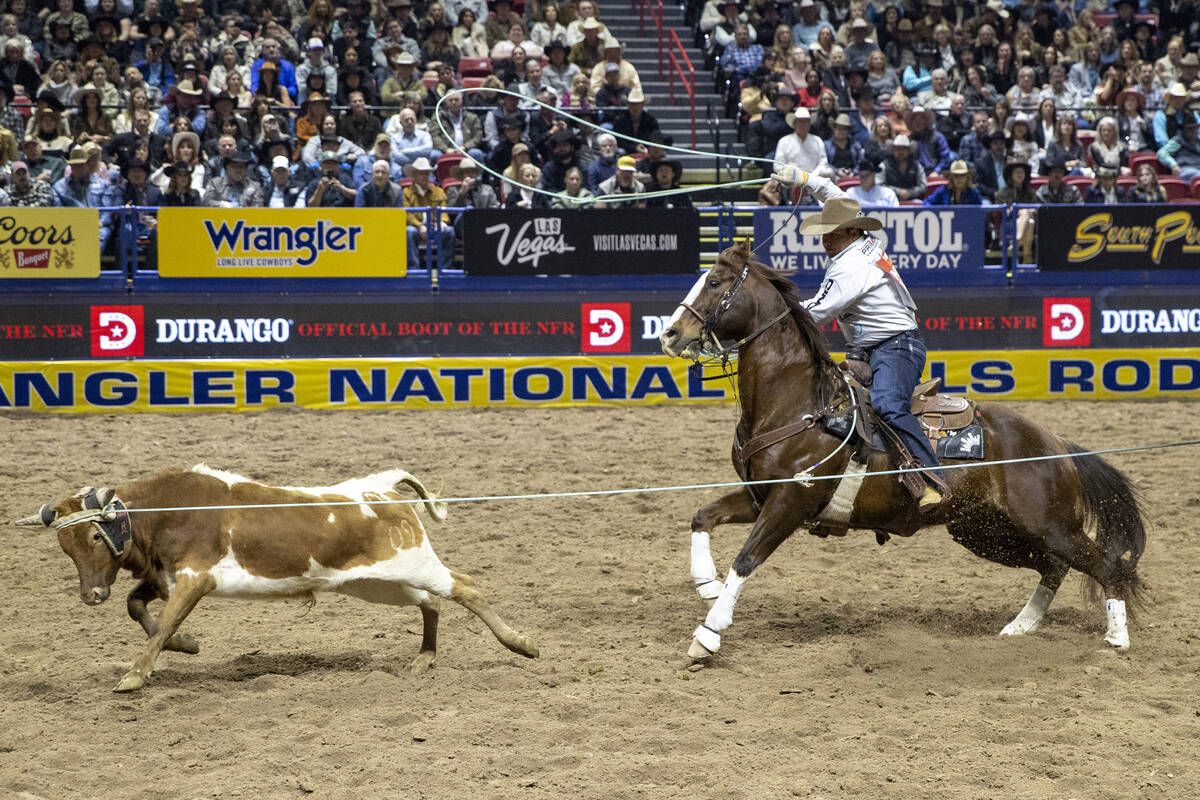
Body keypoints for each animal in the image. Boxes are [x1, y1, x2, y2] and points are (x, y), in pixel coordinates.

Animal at [14, 465, 537, 690]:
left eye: (95, 536)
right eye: (65, 546)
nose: (91, 594)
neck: (165, 512)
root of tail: (382, 487)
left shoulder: (195, 579)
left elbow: (160, 625)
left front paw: (135, 676)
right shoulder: (165, 578)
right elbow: (139, 607)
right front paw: (188, 645)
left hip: (411, 563)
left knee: (465, 587)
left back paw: (521, 644)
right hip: (374, 584)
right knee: (430, 602)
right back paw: (425, 658)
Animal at [662, 239, 1147, 662]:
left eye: (715, 282)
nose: (670, 333)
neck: (800, 402)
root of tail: (1055, 444)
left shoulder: (791, 501)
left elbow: (745, 560)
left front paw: (708, 634)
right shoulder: (760, 495)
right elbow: (703, 515)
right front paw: (705, 582)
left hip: (1049, 525)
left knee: (1105, 567)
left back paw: (1117, 639)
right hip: (985, 531)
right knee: (1053, 567)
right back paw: (1021, 625)